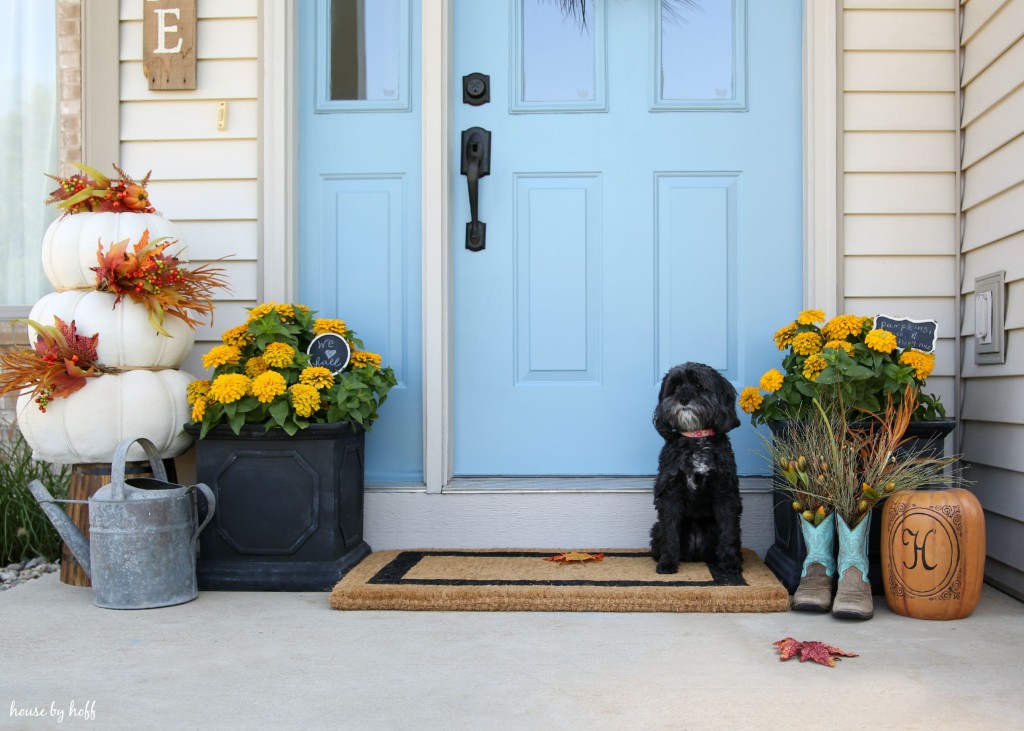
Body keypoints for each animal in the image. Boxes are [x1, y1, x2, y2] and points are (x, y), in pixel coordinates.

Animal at [647, 358, 745, 573]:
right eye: (674, 387)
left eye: (699, 385)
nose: (683, 399)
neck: (696, 438)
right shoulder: (670, 492)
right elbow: (670, 530)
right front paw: (668, 562)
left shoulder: (725, 492)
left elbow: (728, 530)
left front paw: (730, 562)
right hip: (656, 530)